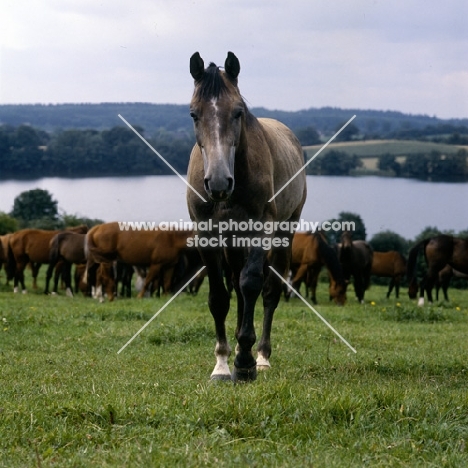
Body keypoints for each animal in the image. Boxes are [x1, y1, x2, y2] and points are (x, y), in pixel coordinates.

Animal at [186, 52, 308, 380]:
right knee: (236, 287)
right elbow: (219, 297)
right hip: (233, 242)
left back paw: (262, 356)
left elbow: (252, 284)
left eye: (238, 112)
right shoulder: (207, 235)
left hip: (284, 233)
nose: (217, 183)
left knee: (268, 292)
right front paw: (222, 363)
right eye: (194, 114)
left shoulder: (261, 231)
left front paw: (244, 361)